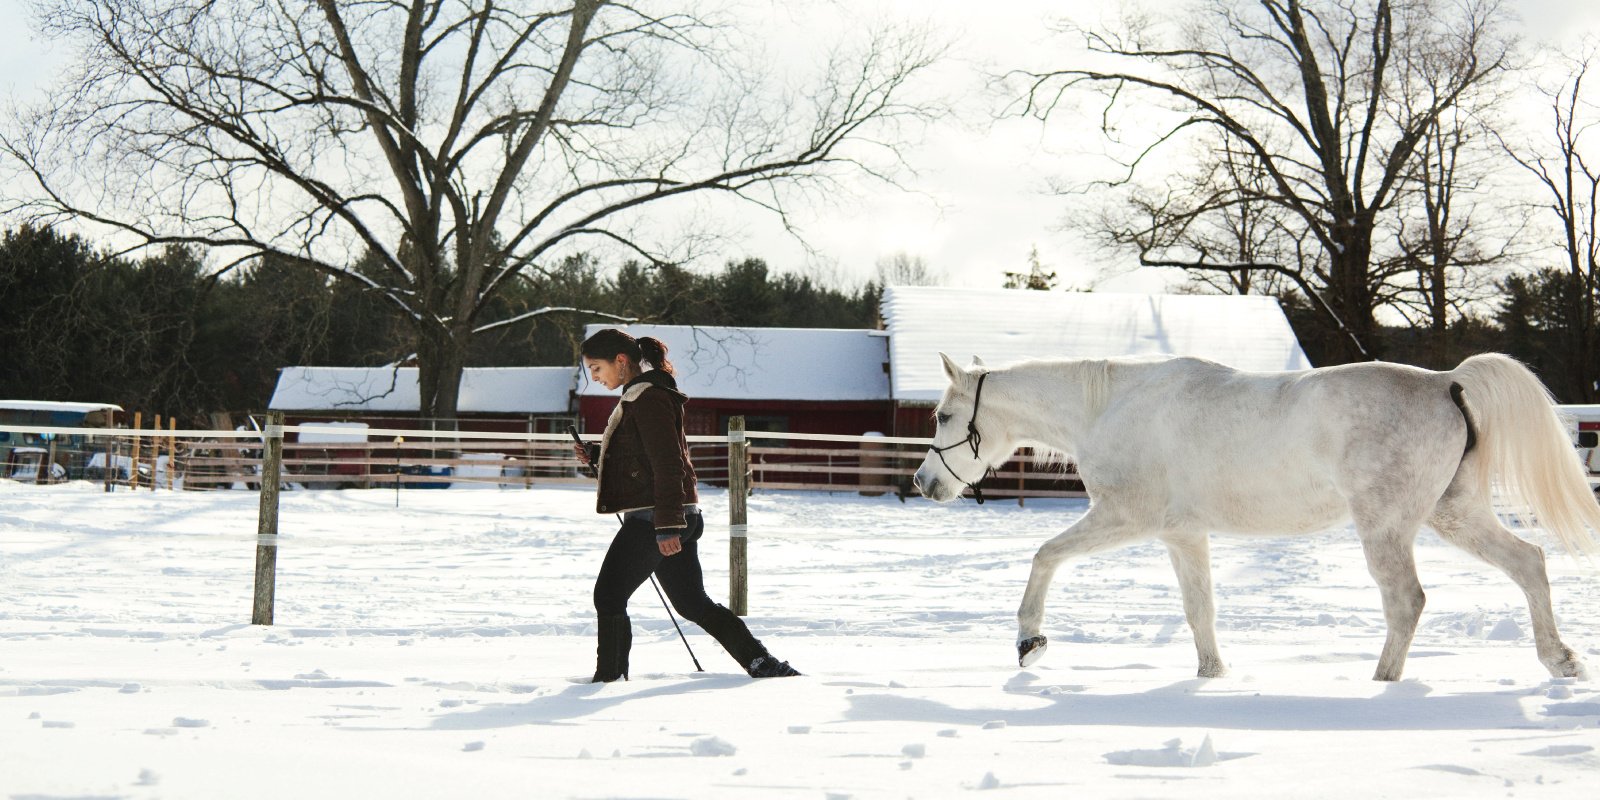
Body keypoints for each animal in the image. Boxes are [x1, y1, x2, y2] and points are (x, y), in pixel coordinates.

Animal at [915, 353, 1600, 678]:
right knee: (1529, 563)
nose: (924, 483)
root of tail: (1446, 381)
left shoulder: (1124, 518)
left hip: (1387, 528)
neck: (1109, 407)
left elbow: (1045, 557)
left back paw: (1381, 682)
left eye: (944, 416)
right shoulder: (1182, 535)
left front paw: (1029, 642)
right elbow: (1200, 610)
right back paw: (1560, 660)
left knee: (1407, 601)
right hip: (1452, 515)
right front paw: (1211, 675)